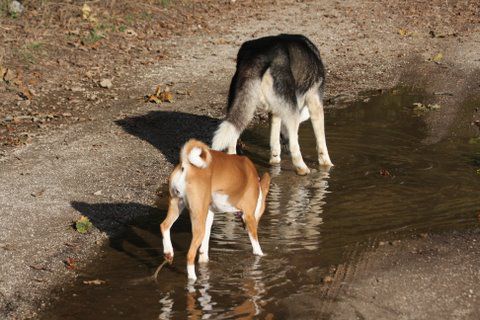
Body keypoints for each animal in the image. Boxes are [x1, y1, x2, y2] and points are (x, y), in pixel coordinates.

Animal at [160, 139, 270, 282]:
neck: (257, 187)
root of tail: (186, 164)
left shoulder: (209, 214)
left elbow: (204, 246)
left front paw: (204, 260)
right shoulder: (249, 216)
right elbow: (257, 247)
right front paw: (262, 255)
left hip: (178, 204)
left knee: (164, 226)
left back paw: (169, 252)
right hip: (197, 220)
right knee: (189, 255)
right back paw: (193, 278)